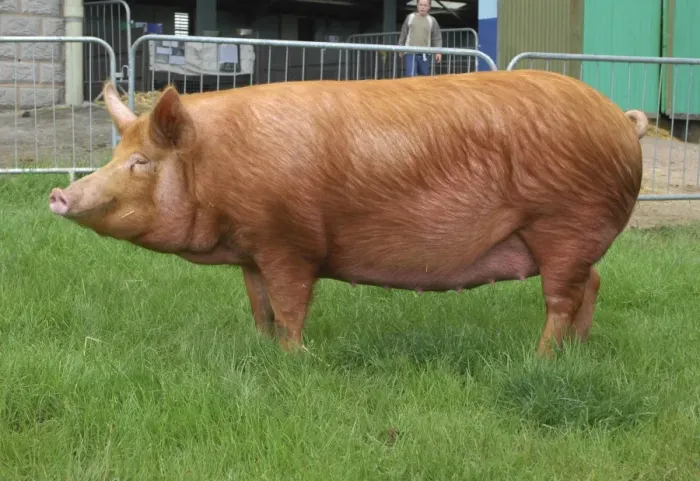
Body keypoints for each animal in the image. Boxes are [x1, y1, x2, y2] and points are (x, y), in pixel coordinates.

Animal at [48, 69, 648, 358]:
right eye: (115, 155)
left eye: (141, 162)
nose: (58, 193)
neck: (216, 164)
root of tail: (620, 121)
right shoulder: (253, 250)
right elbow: (260, 307)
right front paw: (261, 349)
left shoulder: (288, 240)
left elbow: (291, 306)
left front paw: (295, 360)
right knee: (592, 285)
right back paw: (577, 353)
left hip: (565, 222)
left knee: (562, 299)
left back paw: (540, 359)